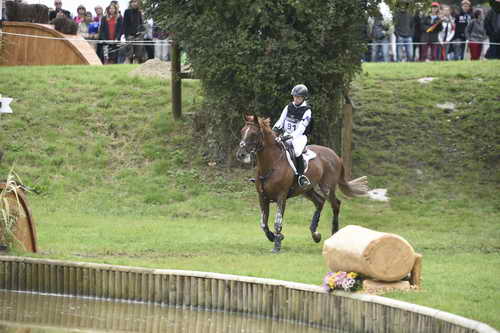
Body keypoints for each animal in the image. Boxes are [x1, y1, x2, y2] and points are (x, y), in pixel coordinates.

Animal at [236, 115, 370, 252]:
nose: (241, 155)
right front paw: (275, 237)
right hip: (306, 190)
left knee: (335, 204)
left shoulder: (281, 196)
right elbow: (263, 223)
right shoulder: (262, 197)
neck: (271, 163)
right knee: (319, 202)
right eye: (242, 131)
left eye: (253, 134)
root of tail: (335, 155)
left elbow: (277, 222)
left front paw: (277, 245)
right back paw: (315, 234)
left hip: (327, 187)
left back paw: (334, 234)